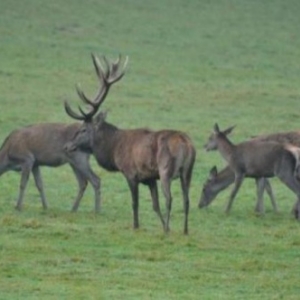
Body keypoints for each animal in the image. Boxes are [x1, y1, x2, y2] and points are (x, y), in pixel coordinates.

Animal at [0, 54, 126, 213]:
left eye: (83, 130)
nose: (66, 145)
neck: (7, 155)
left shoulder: (27, 158)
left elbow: (23, 183)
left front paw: (18, 206)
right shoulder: (36, 163)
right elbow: (40, 184)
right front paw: (45, 206)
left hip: (79, 157)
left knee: (95, 180)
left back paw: (96, 211)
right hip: (73, 160)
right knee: (83, 182)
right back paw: (73, 209)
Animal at [63, 53, 195, 234]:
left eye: (83, 129)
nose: (67, 146)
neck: (114, 150)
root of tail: (185, 143)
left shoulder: (131, 173)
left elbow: (135, 203)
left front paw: (137, 226)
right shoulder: (150, 178)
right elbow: (155, 205)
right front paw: (161, 225)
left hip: (165, 169)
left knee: (170, 198)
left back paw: (168, 230)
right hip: (188, 171)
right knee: (186, 200)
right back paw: (185, 230)